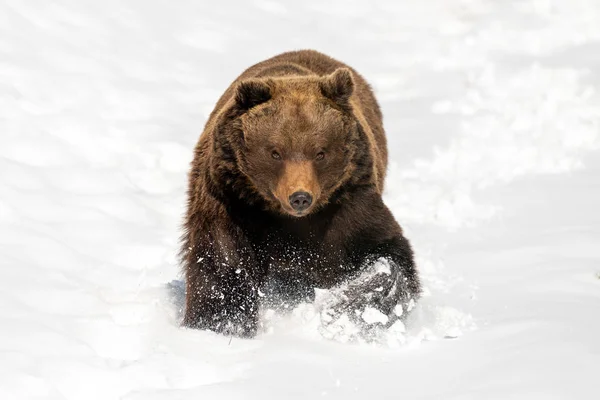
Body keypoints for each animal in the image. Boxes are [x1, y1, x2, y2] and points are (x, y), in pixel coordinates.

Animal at [180, 49, 420, 338]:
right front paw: (219, 324)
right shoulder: (233, 201)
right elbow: (223, 264)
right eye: (275, 152)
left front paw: (353, 308)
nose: (300, 197)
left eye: (320, 152)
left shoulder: (346, 202)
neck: (285, 219)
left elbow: (379, 250)